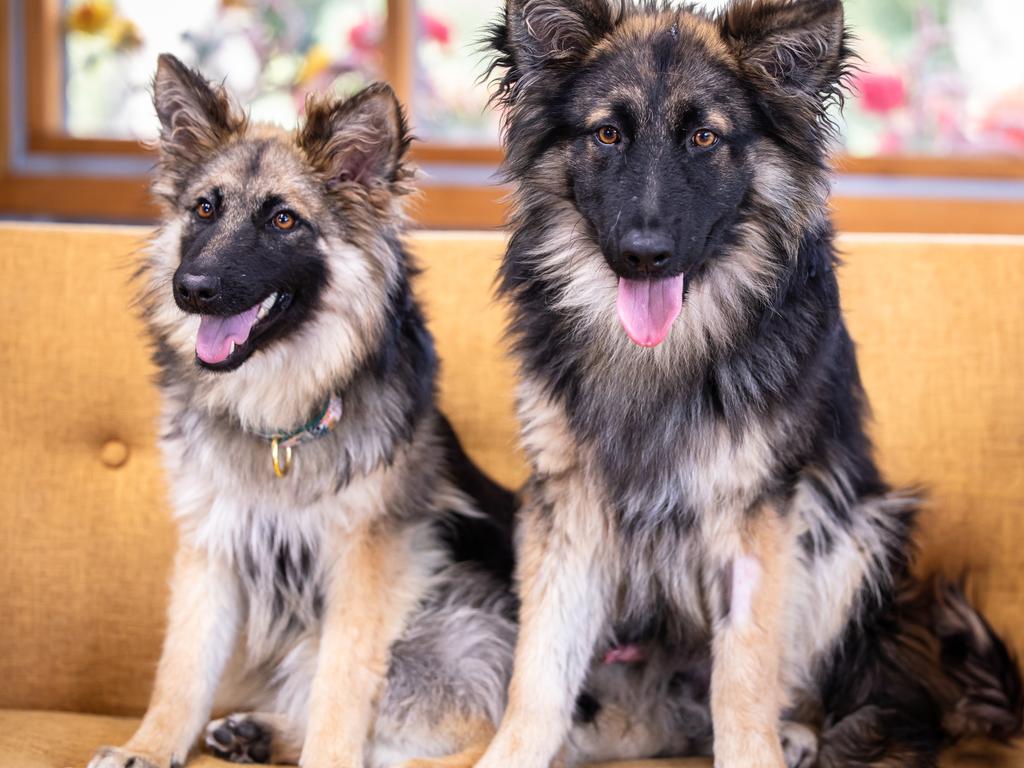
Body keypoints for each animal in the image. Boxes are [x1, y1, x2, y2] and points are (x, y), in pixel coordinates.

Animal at [88, 54, 524, 768]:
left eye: (283, 221)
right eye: (204, 209)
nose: (191, 290)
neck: (281, 418)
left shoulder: (365, 565)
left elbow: (342, 686)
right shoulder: (213, 544)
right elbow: (183, 664)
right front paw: (149, 747)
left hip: (445, 625)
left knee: (466, 734)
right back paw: (257, 732)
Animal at [473, 1, 1024, 768]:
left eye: (705, 137)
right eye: (608, 134)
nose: (644, 256)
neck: (661, 356)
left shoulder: (755, 515)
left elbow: (744, 673)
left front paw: (756, 748)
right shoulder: (567, 510)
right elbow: (541, 666)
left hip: (857, 533)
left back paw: (799, 731)